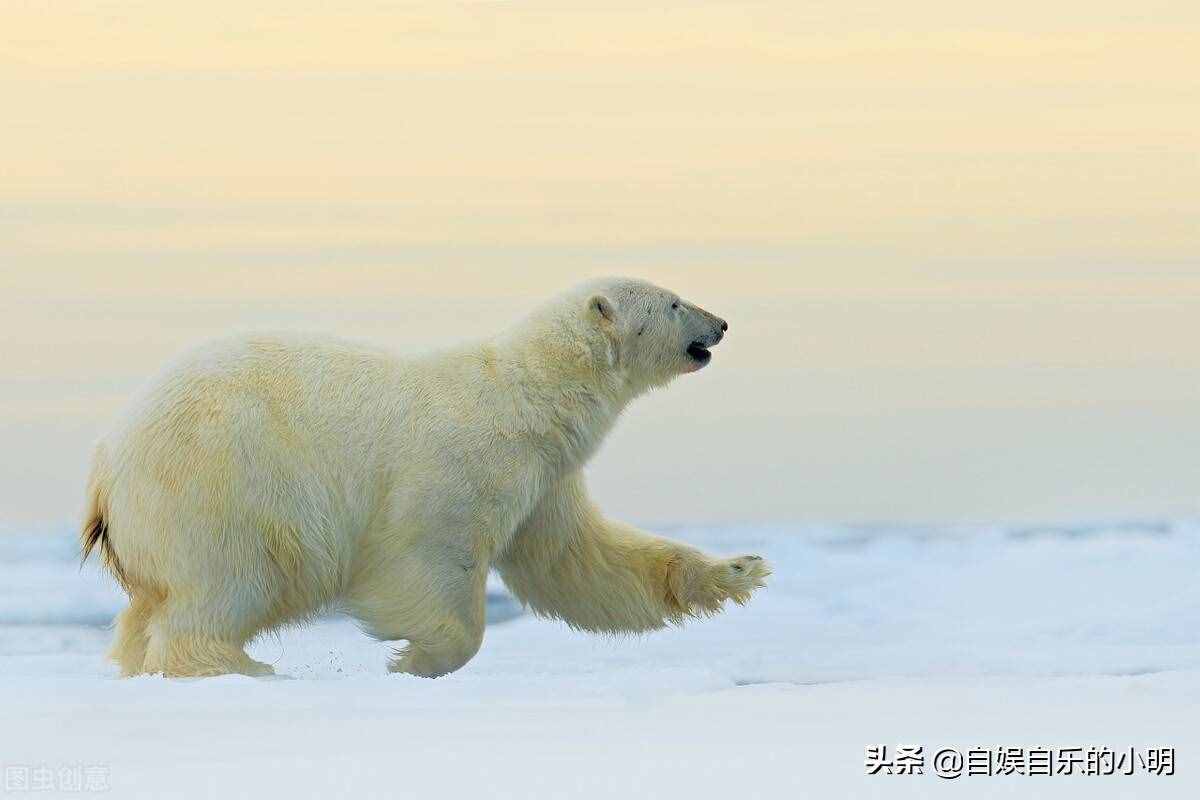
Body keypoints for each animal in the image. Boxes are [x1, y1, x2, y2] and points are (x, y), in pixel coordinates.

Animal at [82, 278, 768, 681]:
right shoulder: (462, 462)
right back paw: (238, 666)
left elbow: (579, 561)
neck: (530, 394)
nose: (721, 322)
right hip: (221, 482)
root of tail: (108, 464)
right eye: (674, 302)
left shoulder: (544, 479)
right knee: (228, 580)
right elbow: (428, 555)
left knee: (150, 607)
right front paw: (416, 657)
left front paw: (740, 571)